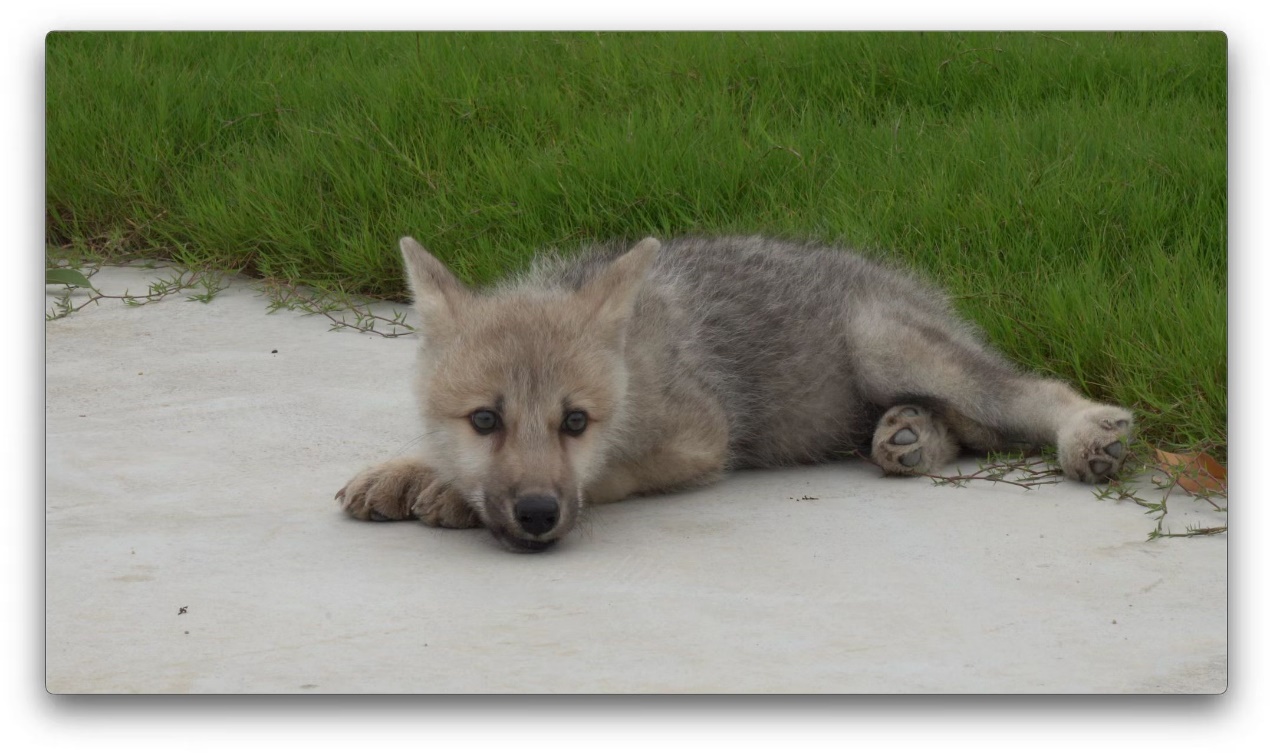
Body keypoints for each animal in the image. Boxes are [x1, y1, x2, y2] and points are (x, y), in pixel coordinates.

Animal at [337, 236, 1132, 553]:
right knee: (967, 429)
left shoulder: (700, 442)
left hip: (886, 344)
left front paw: (447, 491)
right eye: (484, 419)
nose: (536, 516)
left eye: (576, 422)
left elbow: (608, 476)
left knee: (1022, 394)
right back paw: (908, 434)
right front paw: (411, 469)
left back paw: (1087, 432)